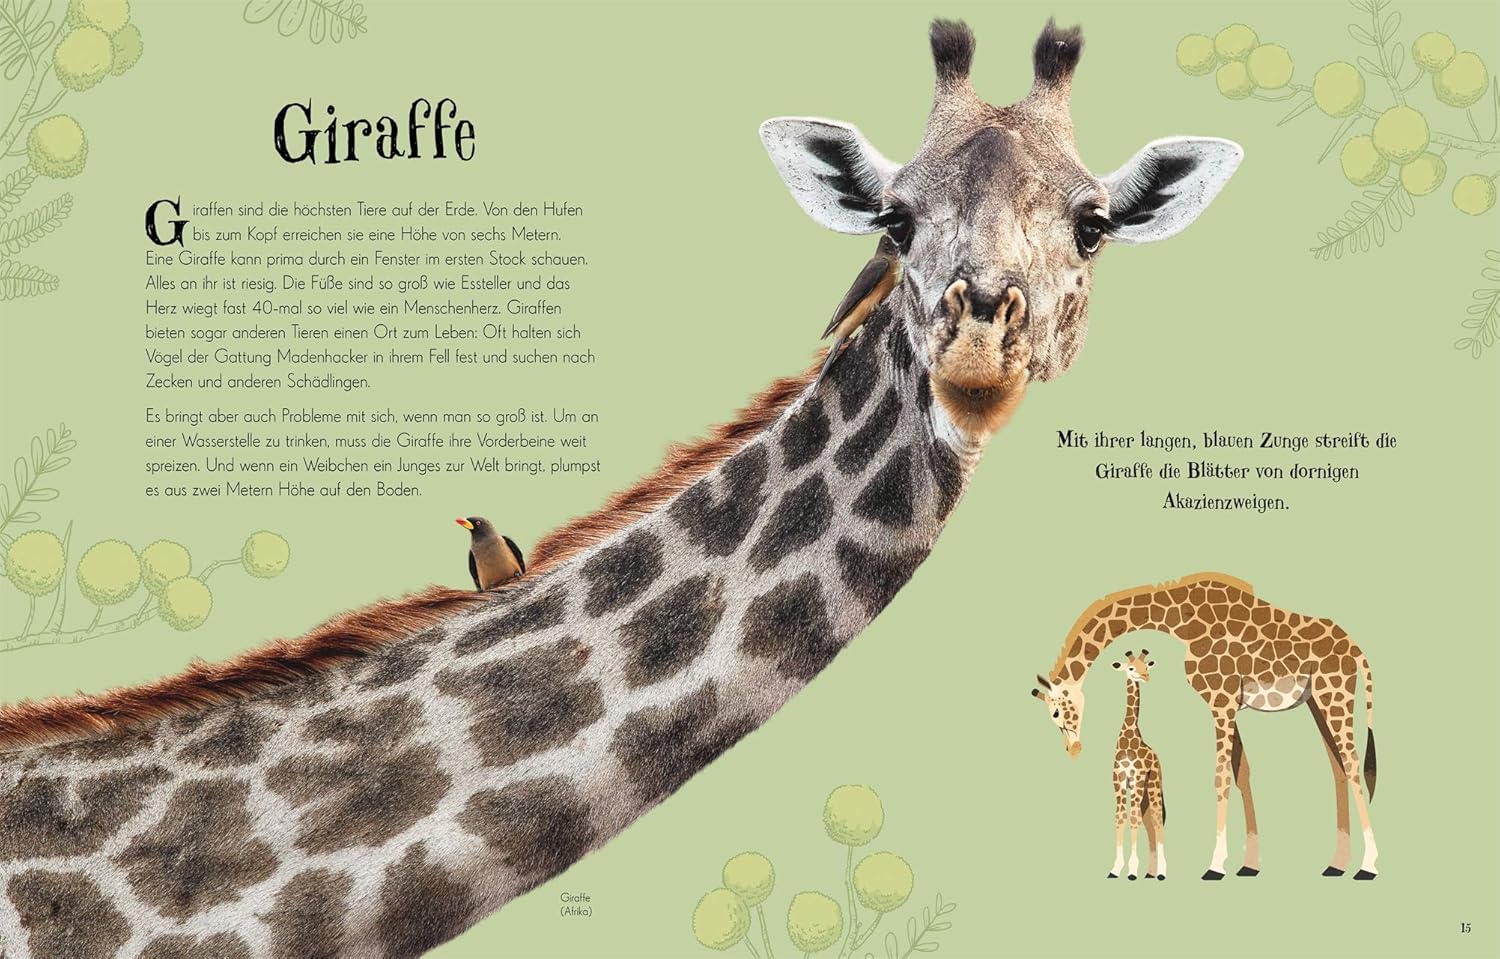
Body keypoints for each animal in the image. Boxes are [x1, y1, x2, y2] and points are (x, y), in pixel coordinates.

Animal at [1103, 650, 1167, 881]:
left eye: (1146, 666)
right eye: (1130, 668)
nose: (1146, 676)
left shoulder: (1137, 779)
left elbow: (1133, 819)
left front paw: (1131, 870)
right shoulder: (1119, 782)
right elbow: (1120, 818)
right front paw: (1115, 869)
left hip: (1153, 786)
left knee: (1156, 820)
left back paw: (1162, 872)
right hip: (1146, 792)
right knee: (1149, 822)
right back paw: (1151, 873)